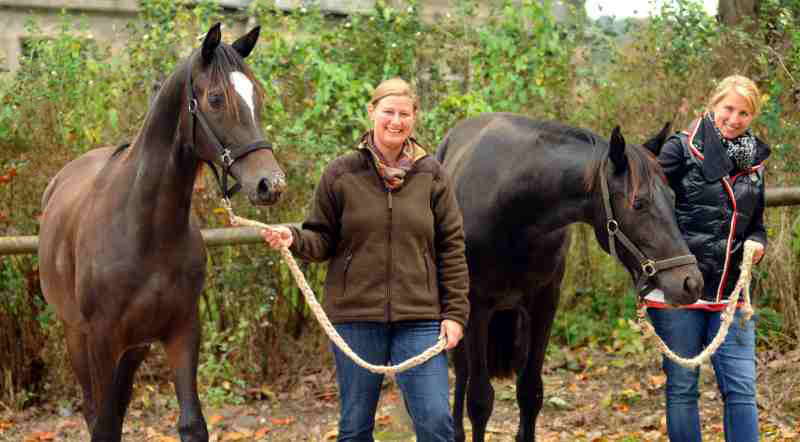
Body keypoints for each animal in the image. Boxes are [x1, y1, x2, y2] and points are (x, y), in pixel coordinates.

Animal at [39, 24, 288, 442]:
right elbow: (104, 424)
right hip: (77, 336)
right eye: (216, 98)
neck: (145, 229)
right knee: (95, 411)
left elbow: (191, 423)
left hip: (134, 347)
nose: (270, 184)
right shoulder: (101, 338)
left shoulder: (182, 331)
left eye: (258, 95)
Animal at [434, 112, 704, 440]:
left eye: (673, 196)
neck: (513, 208)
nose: (691, 282)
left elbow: (530, 393)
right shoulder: (477, 307)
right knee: (462, 374)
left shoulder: (544, 303)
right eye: (639, 203)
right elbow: (479, 401)